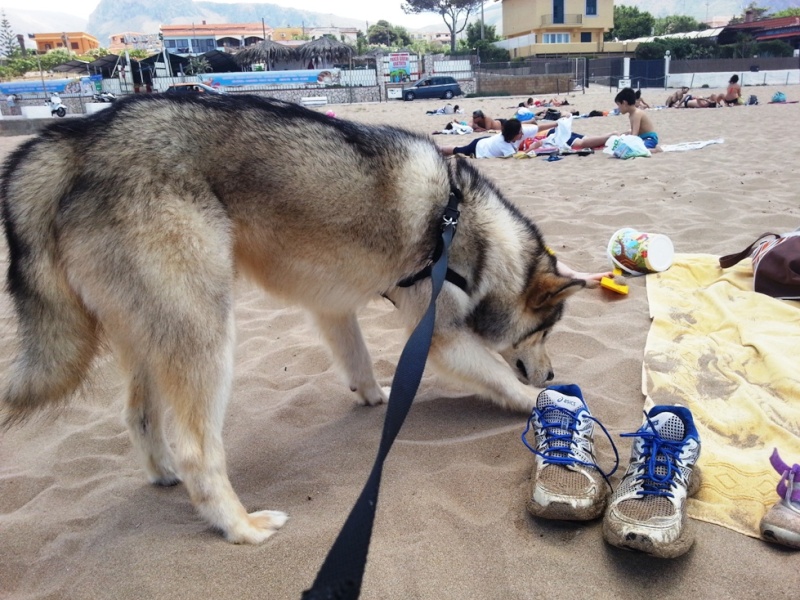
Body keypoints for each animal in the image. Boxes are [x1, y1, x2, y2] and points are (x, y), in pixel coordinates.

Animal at [1, 94, 588, 544]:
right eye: (543, 332)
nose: (554, 372)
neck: (463, 223)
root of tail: (78, 135)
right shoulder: (440, 333)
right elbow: (499, 377)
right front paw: (540, 399)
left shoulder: (332, 306)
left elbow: (356, 357)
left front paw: (375, 396)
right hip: (205, 330)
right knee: (197, 449)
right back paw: (240, 526)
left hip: (145, 333)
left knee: (139, 415)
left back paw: (163, 474)